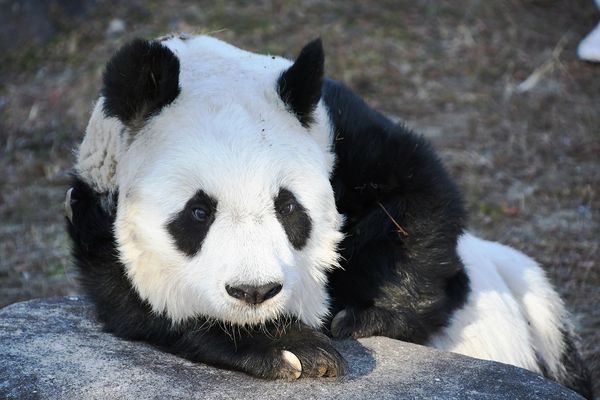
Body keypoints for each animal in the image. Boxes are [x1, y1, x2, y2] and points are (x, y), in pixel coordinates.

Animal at [64, 33, 592, 396]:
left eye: (287, 206)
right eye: (198, 212)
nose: (255, 292)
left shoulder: (341, 129)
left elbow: (421, 195)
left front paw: (368, 316)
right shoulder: (94, 216)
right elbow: (144, 306)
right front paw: (288, 347)